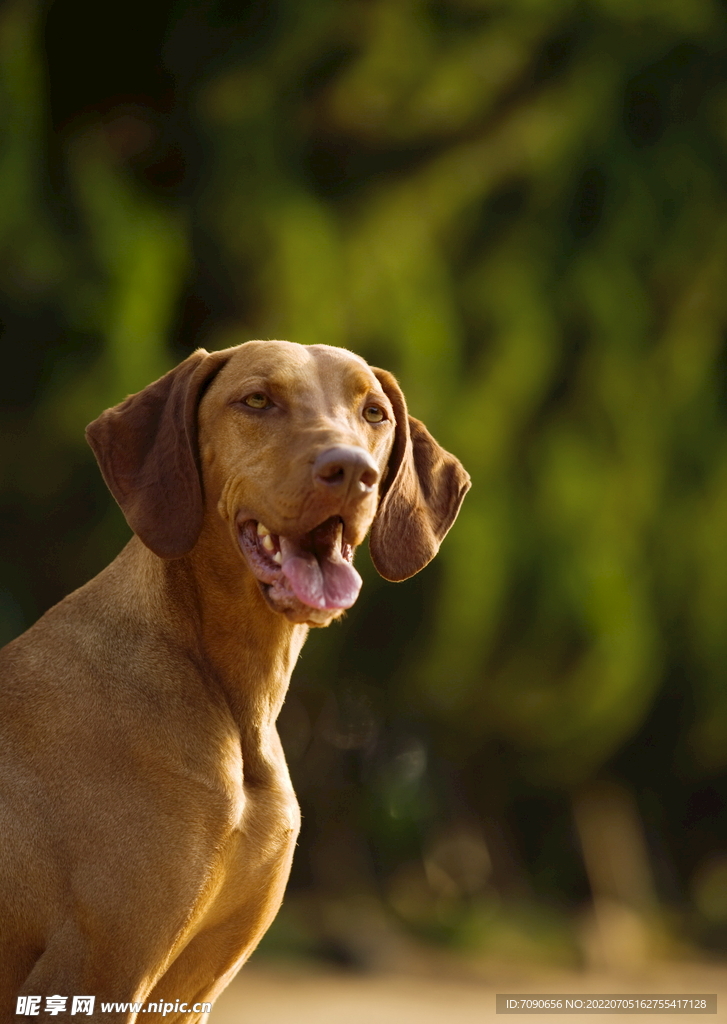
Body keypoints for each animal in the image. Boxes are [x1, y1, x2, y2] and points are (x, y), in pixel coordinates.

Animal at [0, 344, 473, 1024]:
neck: (233, 700)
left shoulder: (189, 993)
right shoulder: (92, 972)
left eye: (374, 413)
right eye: (256, 401)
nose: (351, 471)